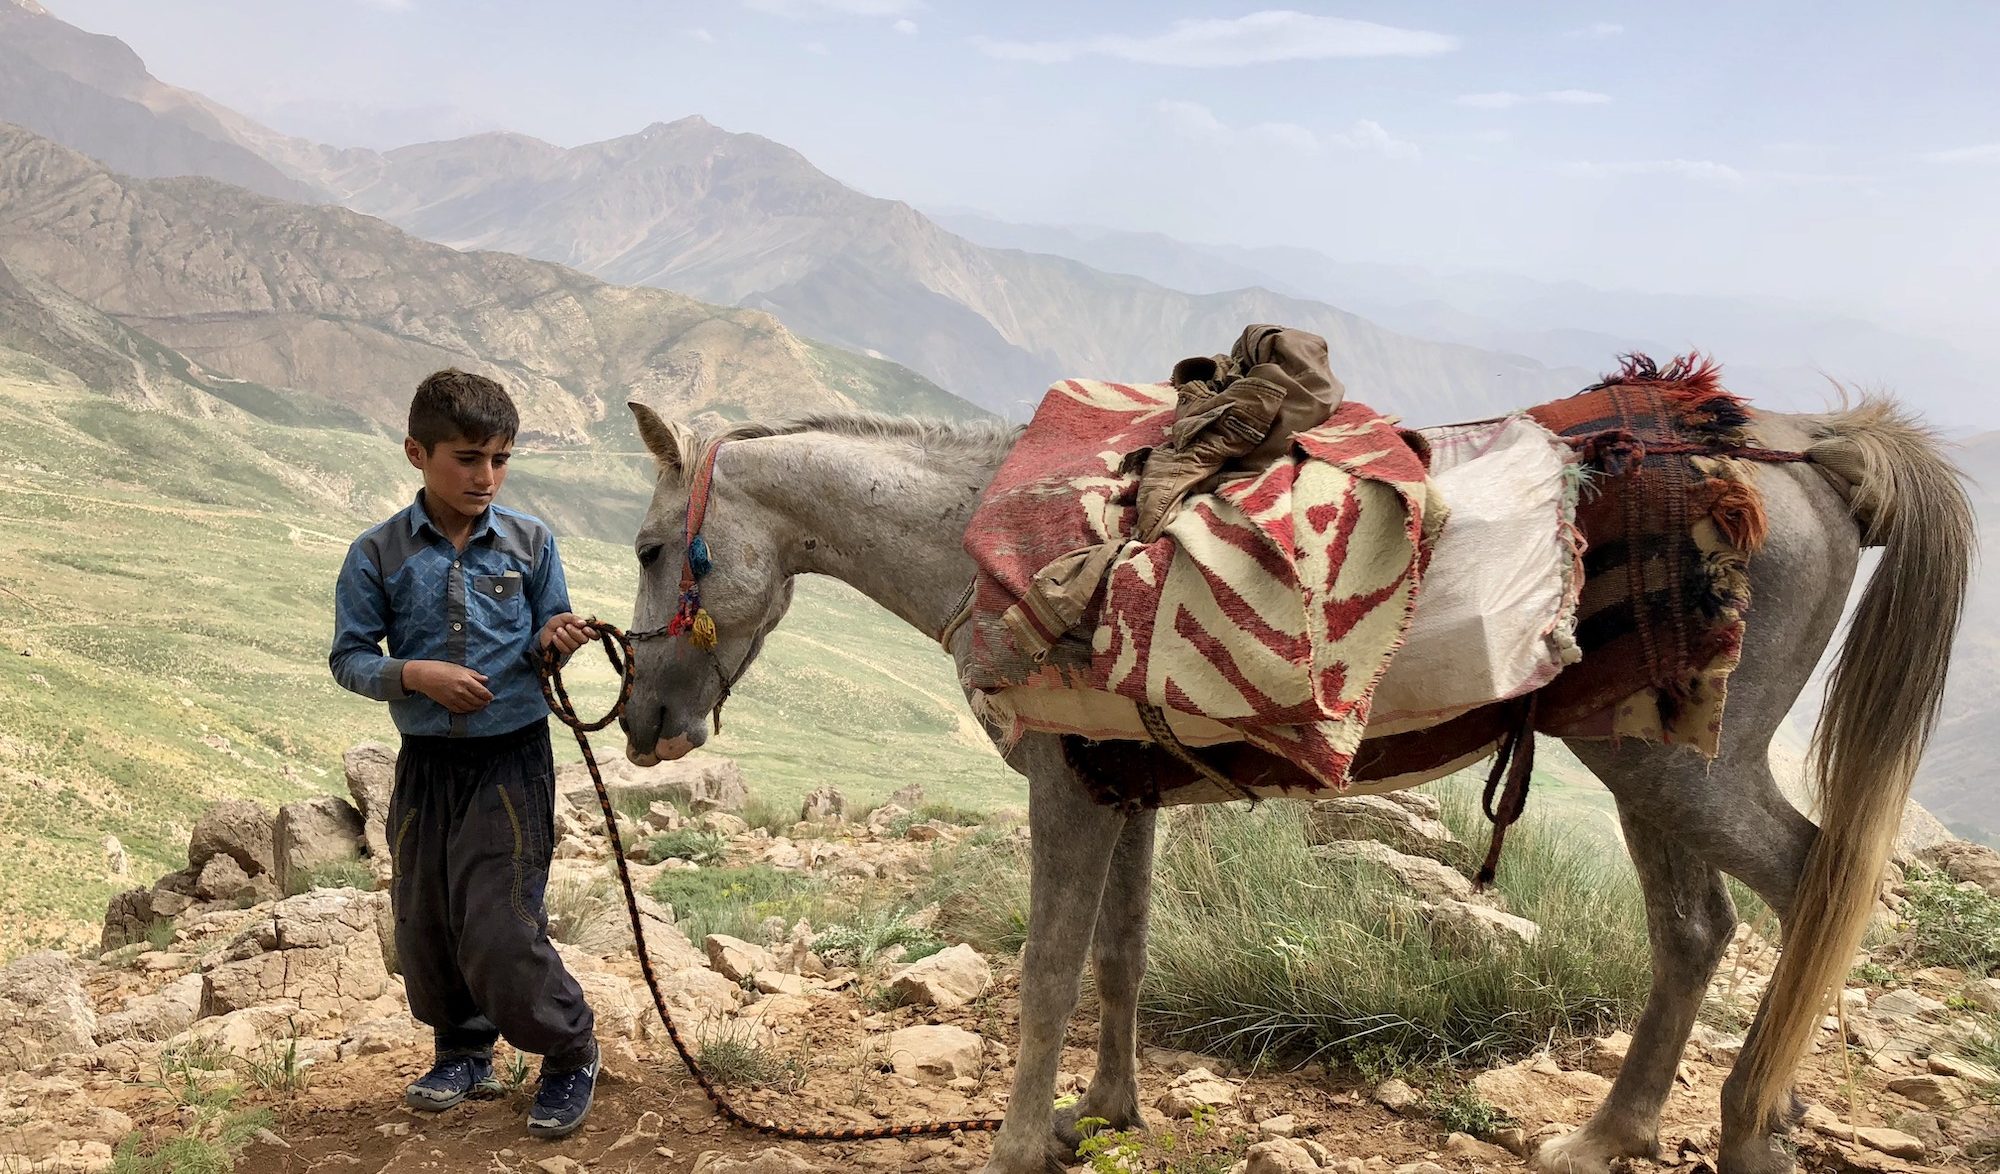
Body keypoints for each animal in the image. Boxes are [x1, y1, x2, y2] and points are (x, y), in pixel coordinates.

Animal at [616, 396, 1960, 1174]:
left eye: (646, 547)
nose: (641, 725)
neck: (999, 535)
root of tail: (1798, 462)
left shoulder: (1066, 789)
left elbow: (1046, 970)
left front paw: (1016, 1141)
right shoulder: (1123, 792)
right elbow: (1120, 954)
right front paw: (1103, 1112)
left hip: (1680, 765)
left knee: (1806, 888)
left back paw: (1749, 1124)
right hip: (1641, 755)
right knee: (1695, 930)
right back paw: (1609, 1133)